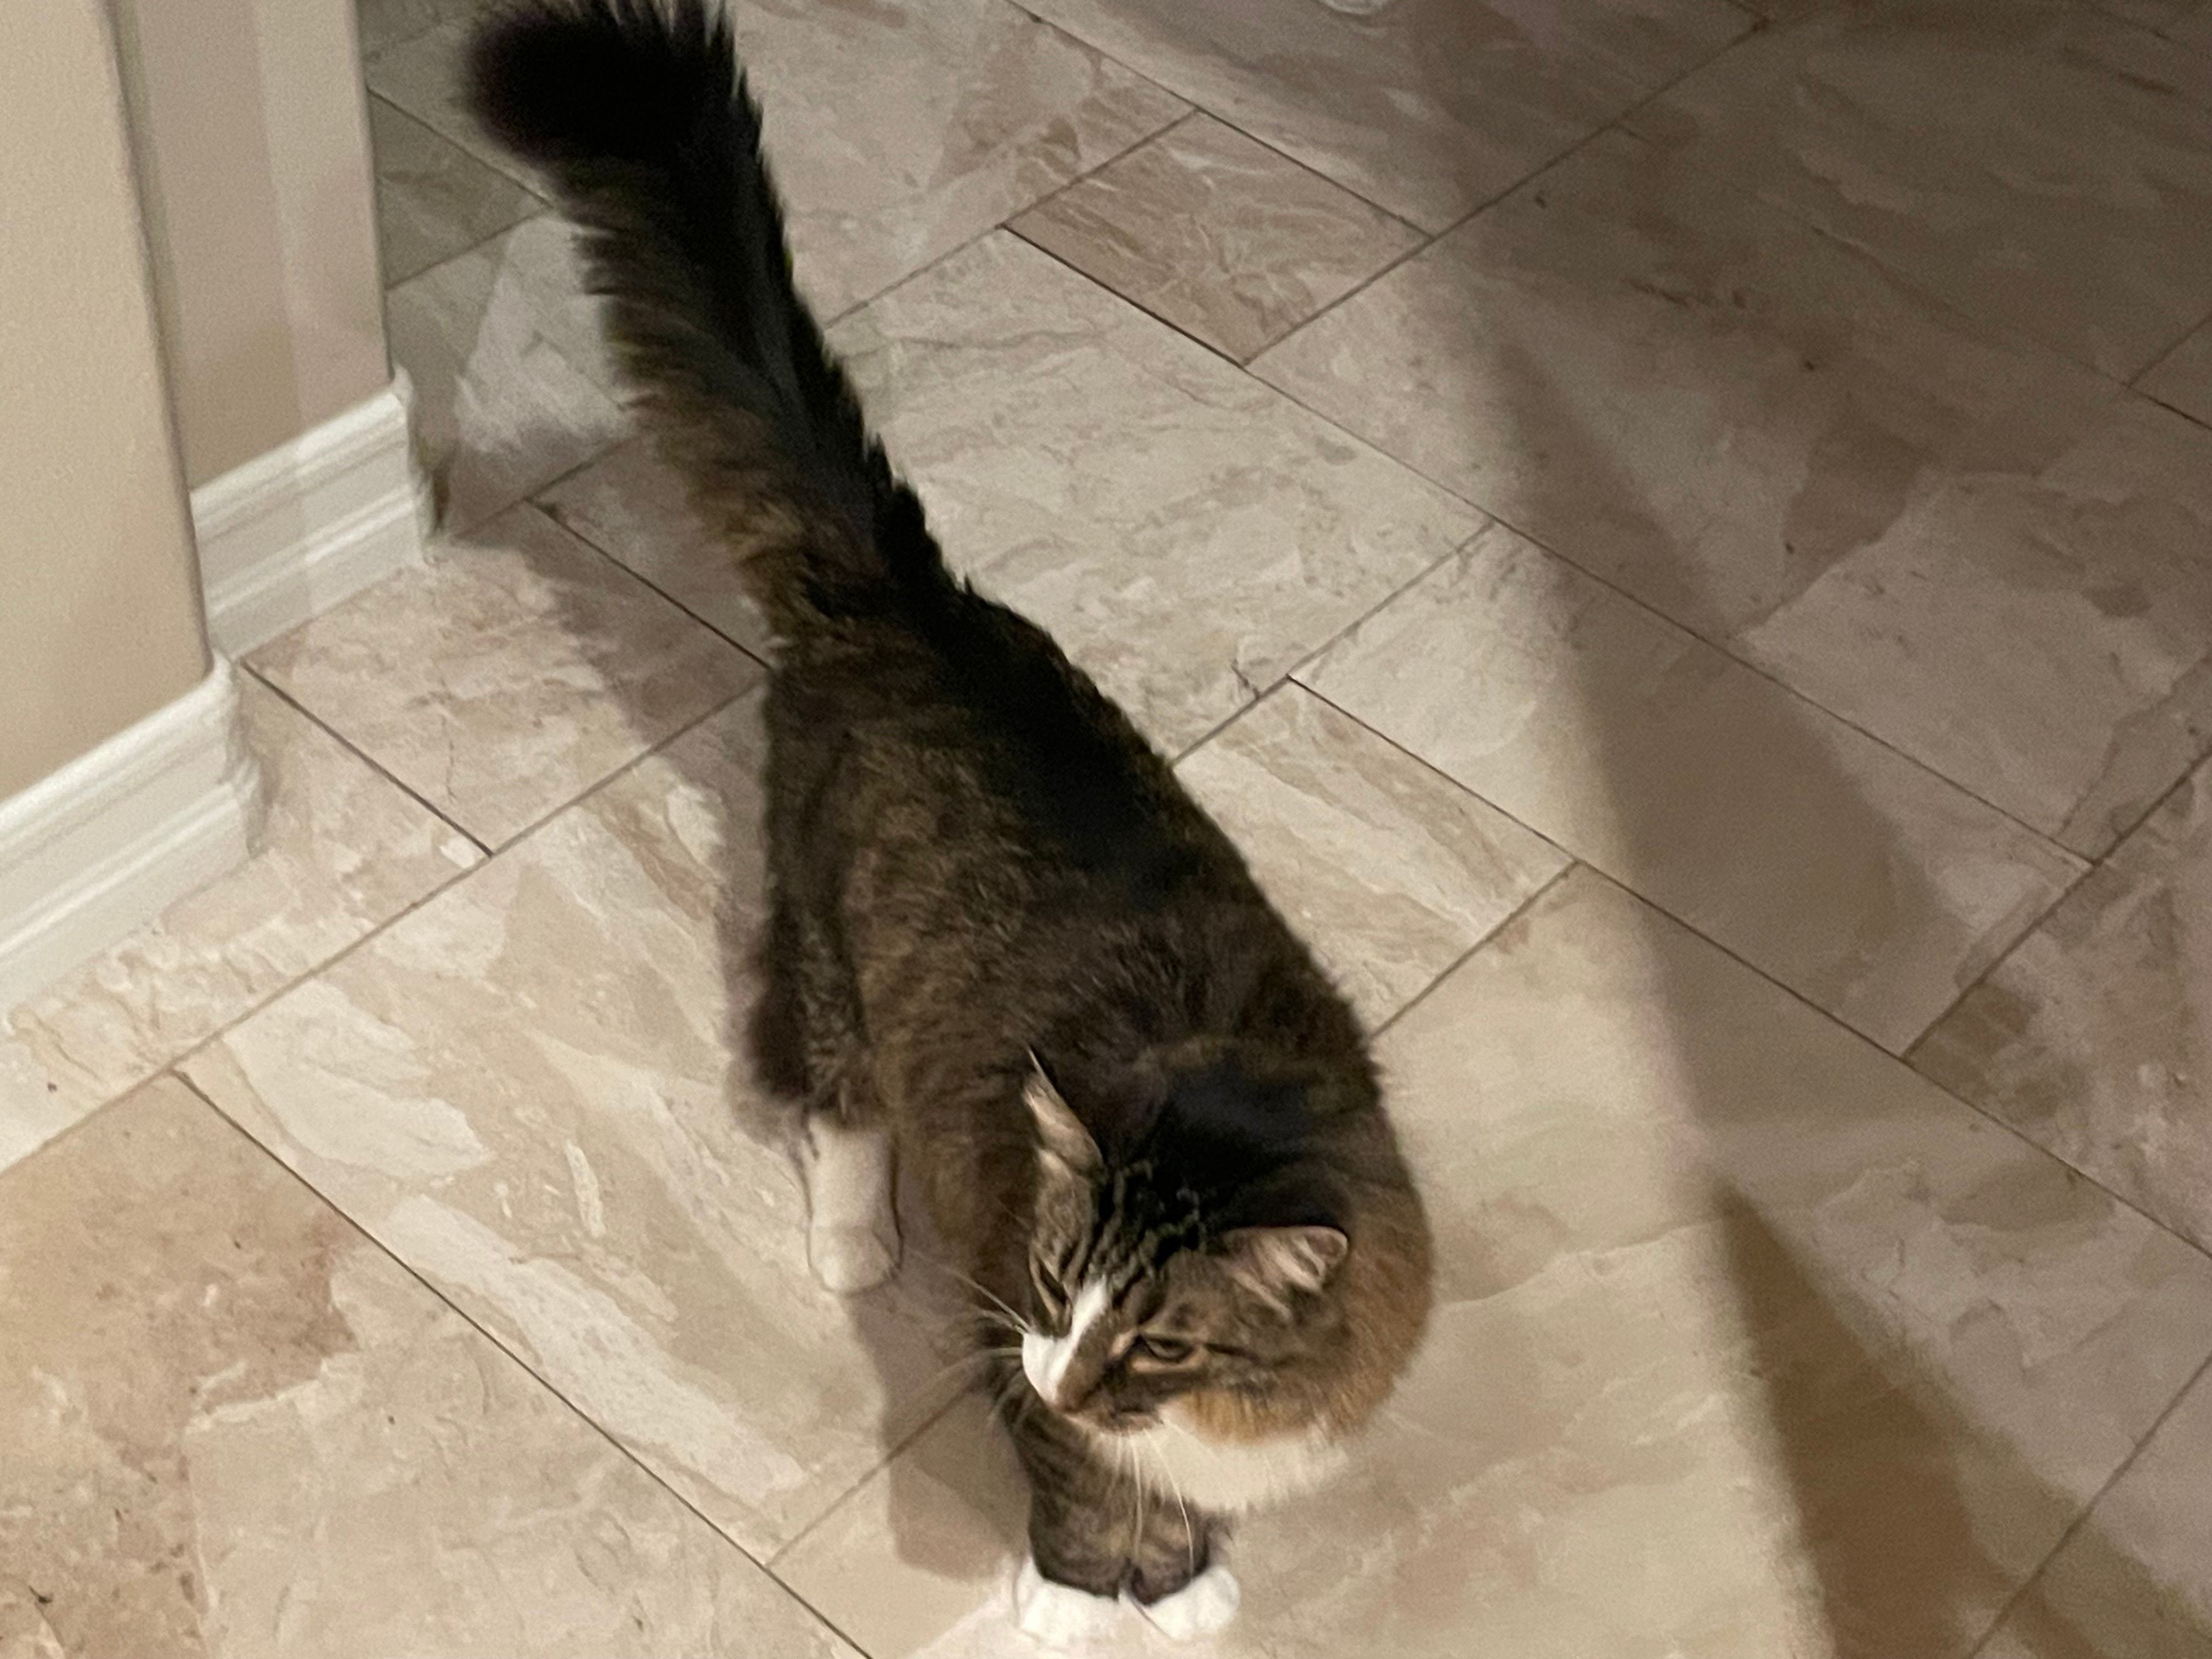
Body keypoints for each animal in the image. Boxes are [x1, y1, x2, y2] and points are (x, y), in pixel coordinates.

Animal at [468, 2, 1433, 1642]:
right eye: (1052, 1289)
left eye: (1163, 1343)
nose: (1066, 1367)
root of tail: (906, 596)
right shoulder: (1016, 1345)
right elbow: (1086, 1495)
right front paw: (1097, 1601)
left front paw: (1193, 1582)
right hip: (835, 956)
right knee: (830, 1102)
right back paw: (855, 1245)